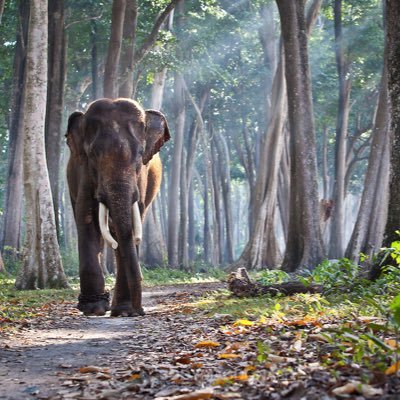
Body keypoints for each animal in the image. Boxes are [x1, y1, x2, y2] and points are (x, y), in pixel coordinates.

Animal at [65, 97, 170, 316]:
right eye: (93, 154)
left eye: (140, 154)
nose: (141, 311)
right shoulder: (84, 171)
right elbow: (86, 218)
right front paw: (93, 309)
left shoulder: (141, 179)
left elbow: (132, 223)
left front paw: (124, 312)